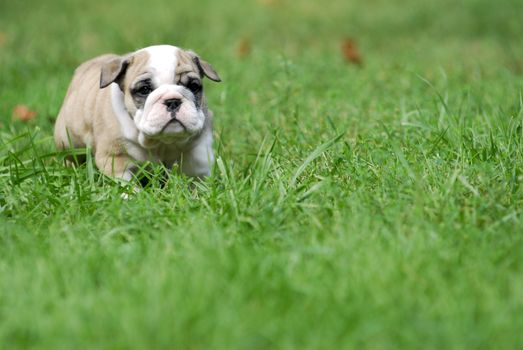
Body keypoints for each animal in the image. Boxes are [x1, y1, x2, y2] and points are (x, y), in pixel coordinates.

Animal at [54, 45, 221, 182]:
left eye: (193, 86)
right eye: (144, 90)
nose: (172, 101)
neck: (161, 142)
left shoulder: (200, 145)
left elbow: (198, 169)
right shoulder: (114, 158)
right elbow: (126, 184)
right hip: (68, 140)